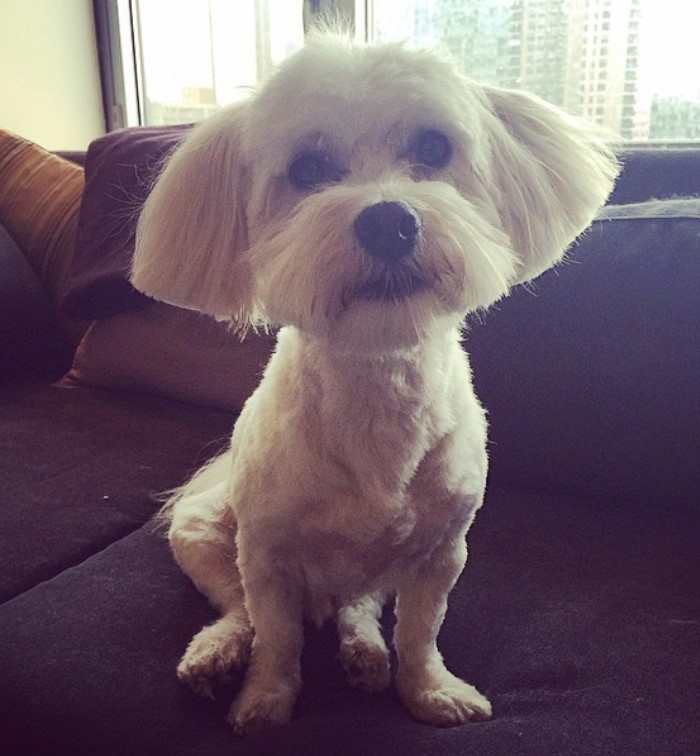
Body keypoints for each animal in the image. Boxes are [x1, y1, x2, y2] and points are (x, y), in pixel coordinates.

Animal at [131, 32, 616, 736]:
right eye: (306, 169)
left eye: (434, 149)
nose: (389, 220)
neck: (376, 380)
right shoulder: (265, 556)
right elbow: (276, 637)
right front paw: (266, 699)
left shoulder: (442, 553)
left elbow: (420, 632)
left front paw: (428, 690)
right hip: (200, 534)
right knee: (241, 610)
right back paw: (218, 651)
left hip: (377, 568)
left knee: (357, 605)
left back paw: (362, 652)